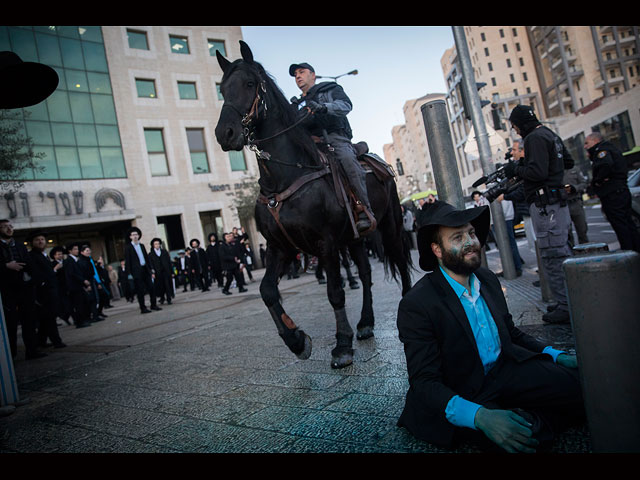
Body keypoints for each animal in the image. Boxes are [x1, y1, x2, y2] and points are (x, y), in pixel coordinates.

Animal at [215, 43, 412, 370]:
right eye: (221, 89)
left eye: (250, 83)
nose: (224, 133)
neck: (285, 177)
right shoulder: (280, 247)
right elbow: (267, 291)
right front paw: (296, 340)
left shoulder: (326, 243)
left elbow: (335, 292)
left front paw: (342, 345)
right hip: (355, 239)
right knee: (366, 275)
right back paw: (366, 323)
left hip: (390, 225)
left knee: (400, 262)